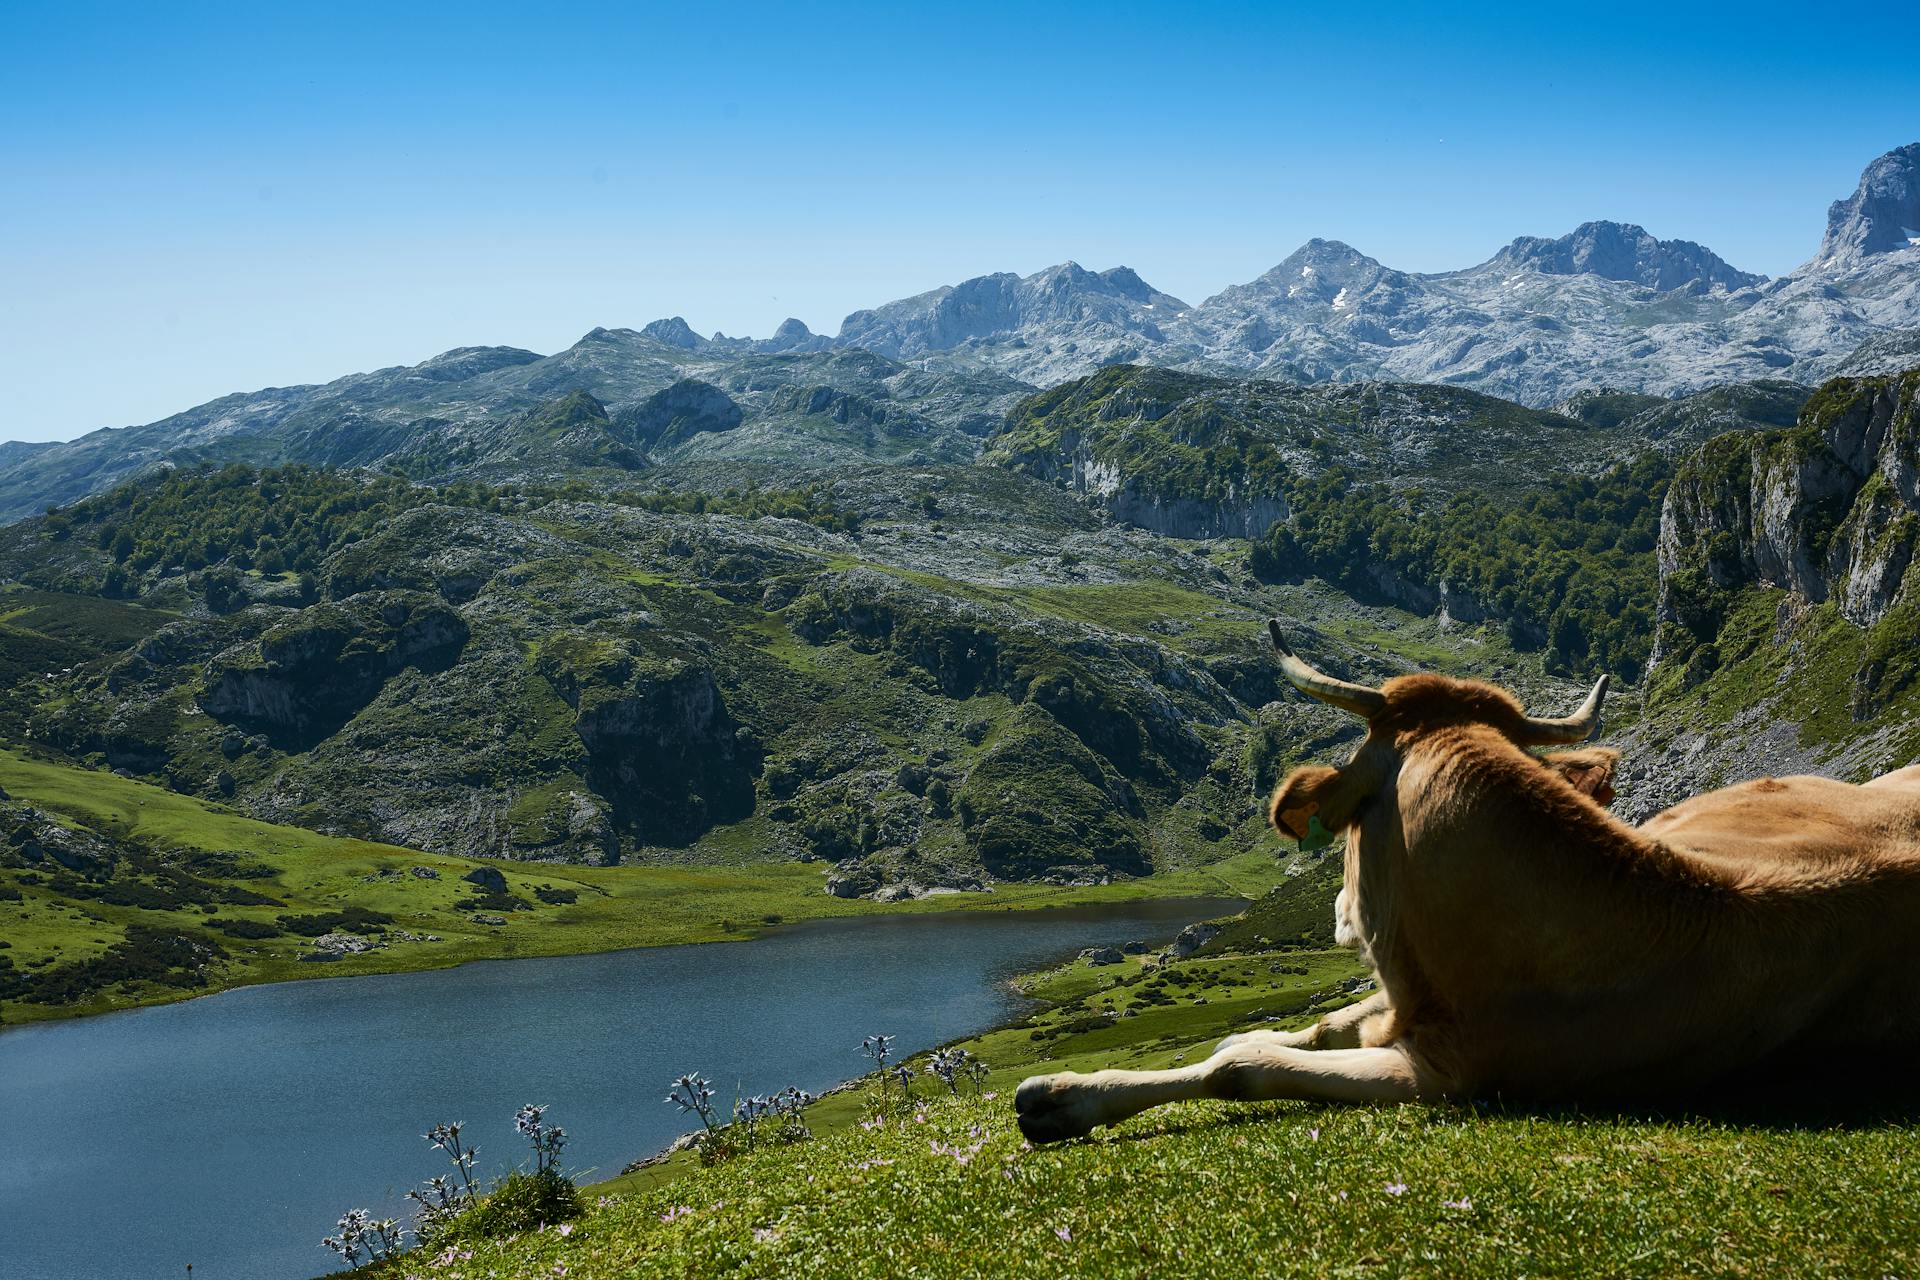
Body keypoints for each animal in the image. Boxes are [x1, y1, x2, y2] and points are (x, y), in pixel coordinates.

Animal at [1013, 621, 1912, 1143]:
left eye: (1347, 822)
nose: (1337, 912)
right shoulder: (1394, 1009)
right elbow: (1289, 1031)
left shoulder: (1442, 1074)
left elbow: (1242, 1065)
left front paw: (1063, 1096)